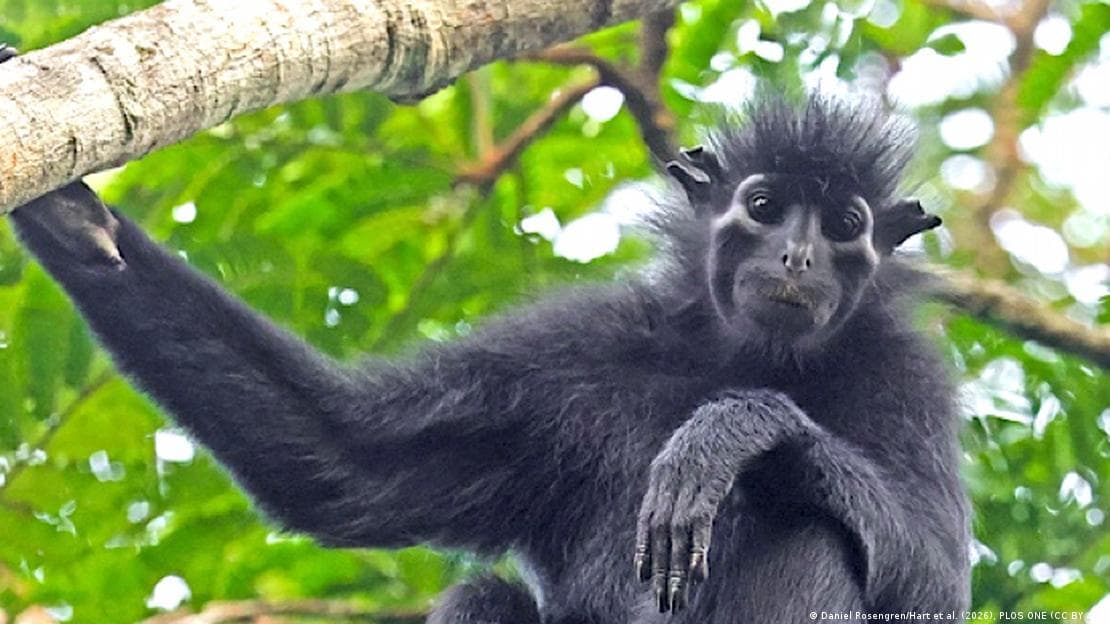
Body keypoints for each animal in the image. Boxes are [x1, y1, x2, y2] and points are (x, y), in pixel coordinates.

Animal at [5, 43, 969, 623]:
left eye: (843, 224)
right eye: (766, 208)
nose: (799, 255)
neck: (732, 354)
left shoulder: (906, 375)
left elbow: (933, 575)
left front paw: (731, 429)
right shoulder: (579, 350)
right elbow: (341, 461)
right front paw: (75, 222)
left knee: (813, 533)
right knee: (482, 595)